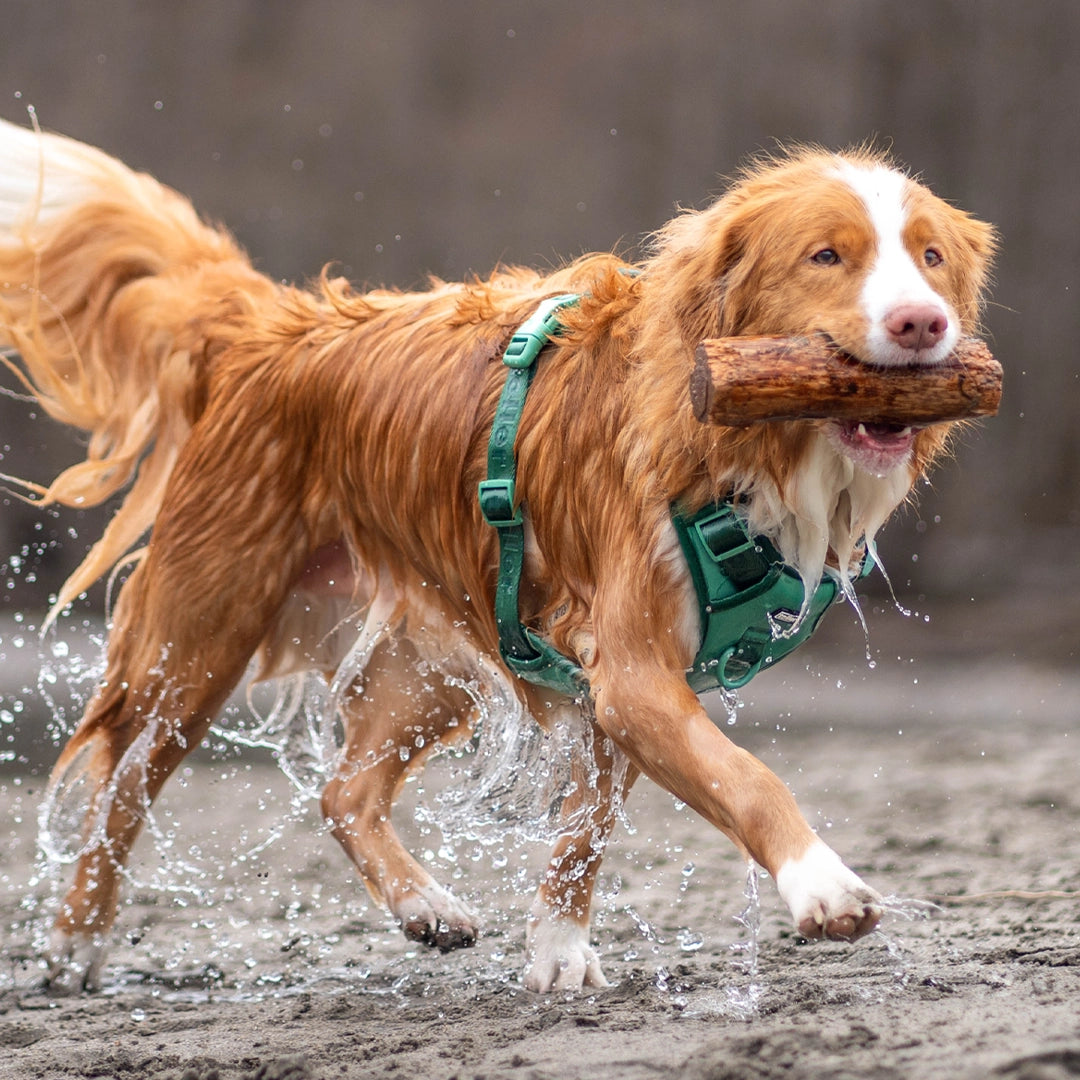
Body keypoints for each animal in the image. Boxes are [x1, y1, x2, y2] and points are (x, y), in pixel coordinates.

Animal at [0, 120, 993, 993]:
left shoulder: (622, 683)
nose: (922, 324)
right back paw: (79, 939)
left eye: (931, 257)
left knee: (344, 792)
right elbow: (748, 781)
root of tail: (272, 325)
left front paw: (558, 952)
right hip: (201, 633)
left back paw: (424, 906)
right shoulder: (633, 671)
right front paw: (823, 883)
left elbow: (585, 829)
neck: (740, 446)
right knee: (122, 783)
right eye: (826, 257)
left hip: (434, 655)